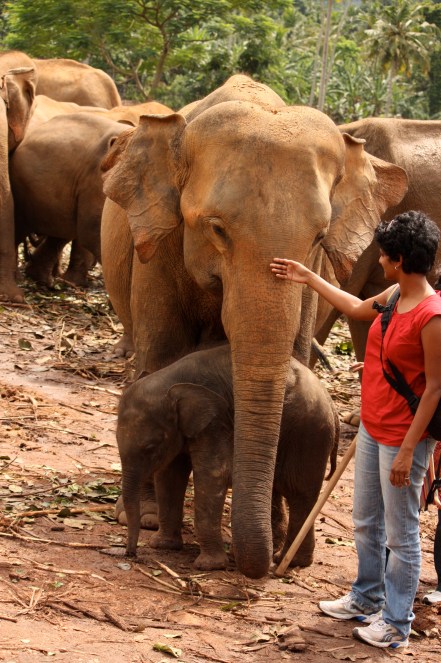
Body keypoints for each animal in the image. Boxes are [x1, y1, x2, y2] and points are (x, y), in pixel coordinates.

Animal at [117, 344, 339, 570]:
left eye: (150, 448)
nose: (131, 554)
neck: (171, 379)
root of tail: (331, 402)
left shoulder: (216, 422)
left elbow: (213, 475)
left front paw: (208, 566)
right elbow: (169, 474)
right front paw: (163, 545)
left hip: (310, 434)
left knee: (299, 494)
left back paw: (289, 561)